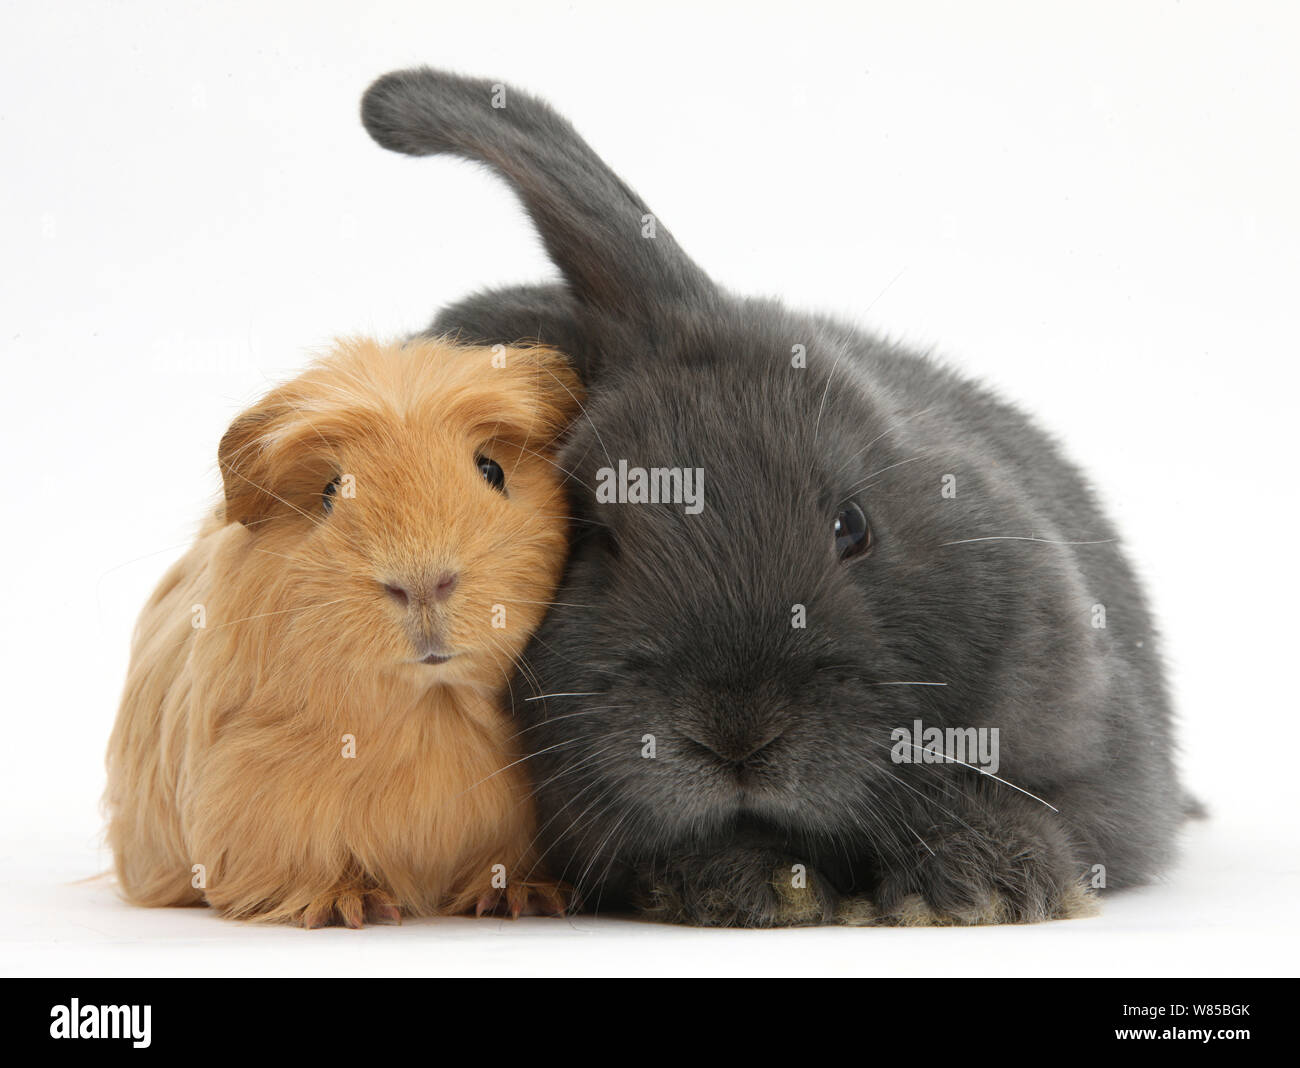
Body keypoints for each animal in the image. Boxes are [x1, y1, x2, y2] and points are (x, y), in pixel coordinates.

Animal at [105, 336, 583, 926]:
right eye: (332, 491)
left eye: (492, 470)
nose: (421, 583)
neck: (430, 709)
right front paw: (348, 906)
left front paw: (526, 896)